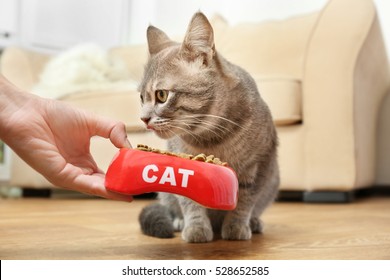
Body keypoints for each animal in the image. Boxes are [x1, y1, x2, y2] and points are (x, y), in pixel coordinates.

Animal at [139, 12, 278, 242]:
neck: (211, 137)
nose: (143, 118)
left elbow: (245, 200)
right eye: (141, 97)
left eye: (161, 95)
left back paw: (254, 222)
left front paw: (236, 226)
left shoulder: (259, 165)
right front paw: (196, 227)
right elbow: (190, 201)